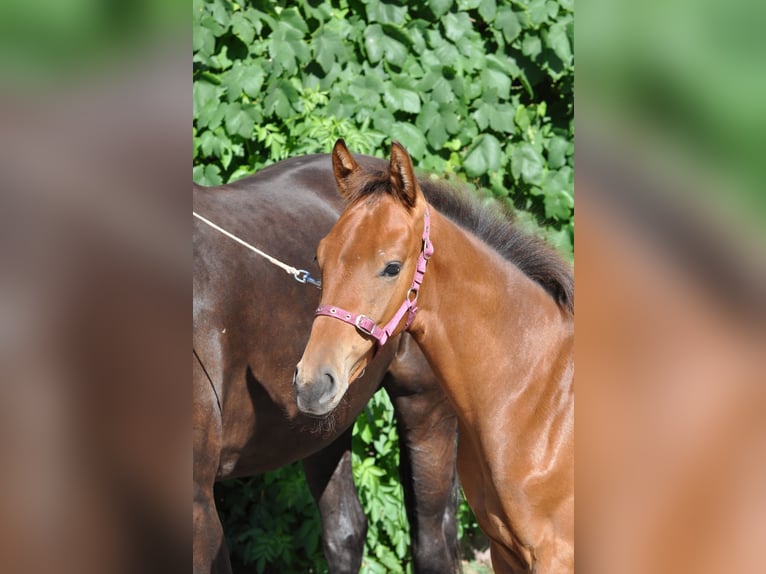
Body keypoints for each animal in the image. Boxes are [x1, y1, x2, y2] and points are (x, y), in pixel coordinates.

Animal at [294, 142, 576, 572]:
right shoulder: (504, 550)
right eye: (319, 258)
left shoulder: (555, 556)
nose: (312, 384)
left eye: (392, 267)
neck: (541, 401)